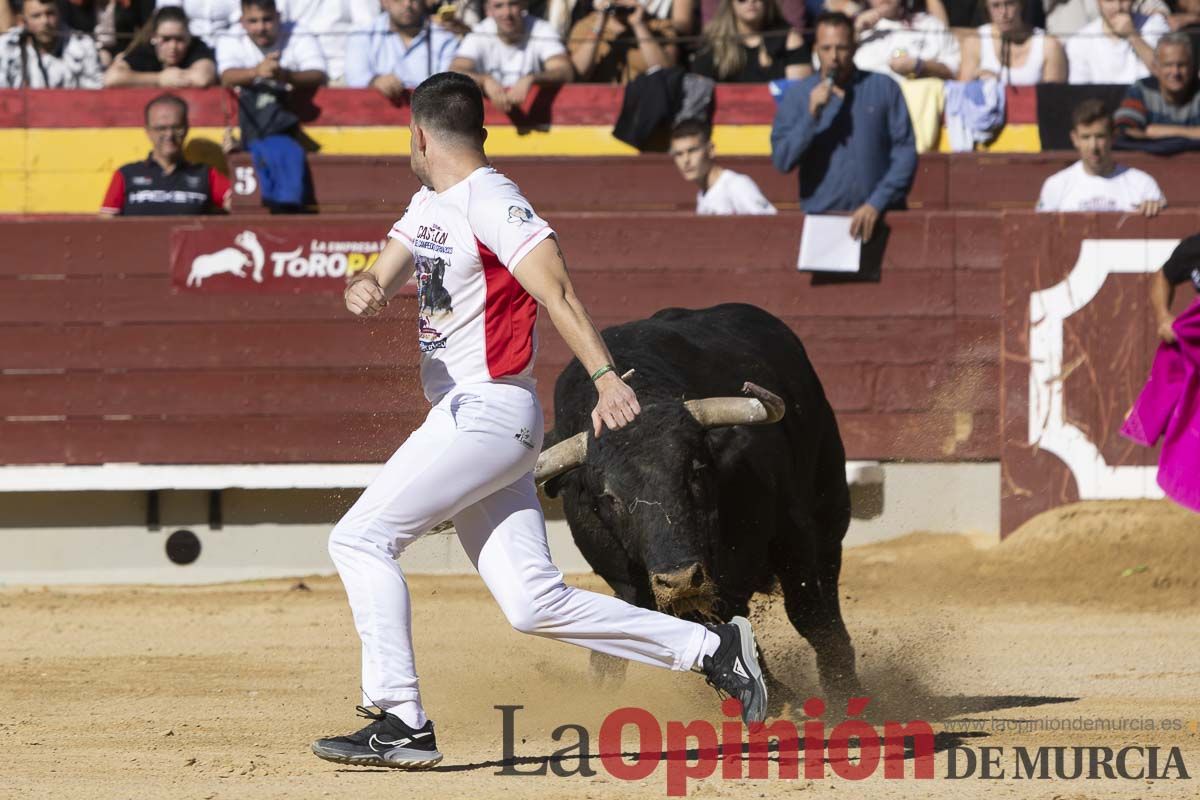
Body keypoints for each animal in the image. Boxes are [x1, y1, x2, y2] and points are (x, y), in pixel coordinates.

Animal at [537, 304, 864, 700]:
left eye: (695, 470)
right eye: (610, 497)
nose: (679, 579)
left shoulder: (792, 534)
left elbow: (808, 613)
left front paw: (840, 693)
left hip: (831, 506)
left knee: (827, 582)